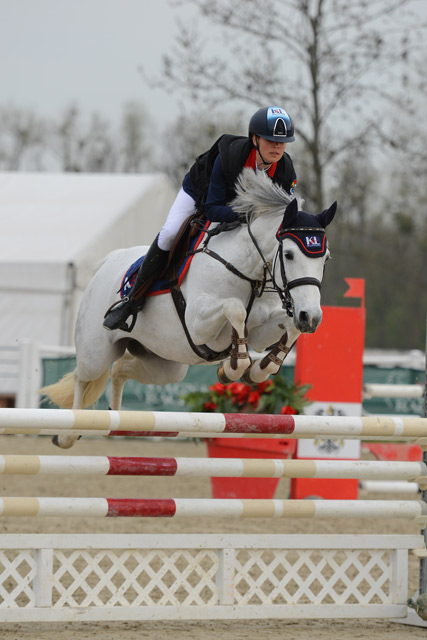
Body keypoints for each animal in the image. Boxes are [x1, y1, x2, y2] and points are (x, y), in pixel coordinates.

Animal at [42, 170, 338, 450]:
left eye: (325, 258)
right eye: (288, 255)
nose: (311, 317)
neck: (248, 269)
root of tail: (108, 262)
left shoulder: (261, 331)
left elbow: (286, 329)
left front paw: (259, 369)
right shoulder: (198, 323)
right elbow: (235, 309)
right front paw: (234, 367)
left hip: (166, 364)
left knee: (121, 369)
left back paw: (115, 417)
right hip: (97, 351)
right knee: (82, 377)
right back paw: (68, 434)